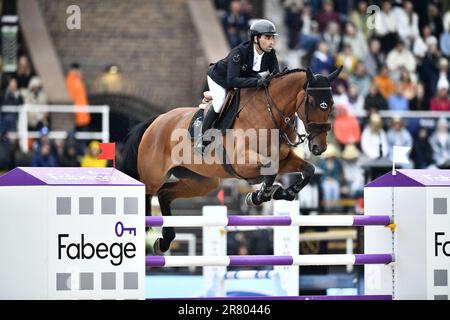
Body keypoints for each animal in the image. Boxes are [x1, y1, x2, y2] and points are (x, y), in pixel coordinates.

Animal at [119, 66, 342, 254]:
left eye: (331, 105)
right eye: (312, 103)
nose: (319, 147)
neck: (270, 113)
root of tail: (155, 121)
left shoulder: (285, 159)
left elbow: (308, 169)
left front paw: (283, 192)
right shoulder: (241, 162)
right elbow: (270, 168)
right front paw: (259, 195)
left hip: (202, 182)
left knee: (164, 194)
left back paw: (165, 241)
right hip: (153, 176)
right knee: (148, 191)